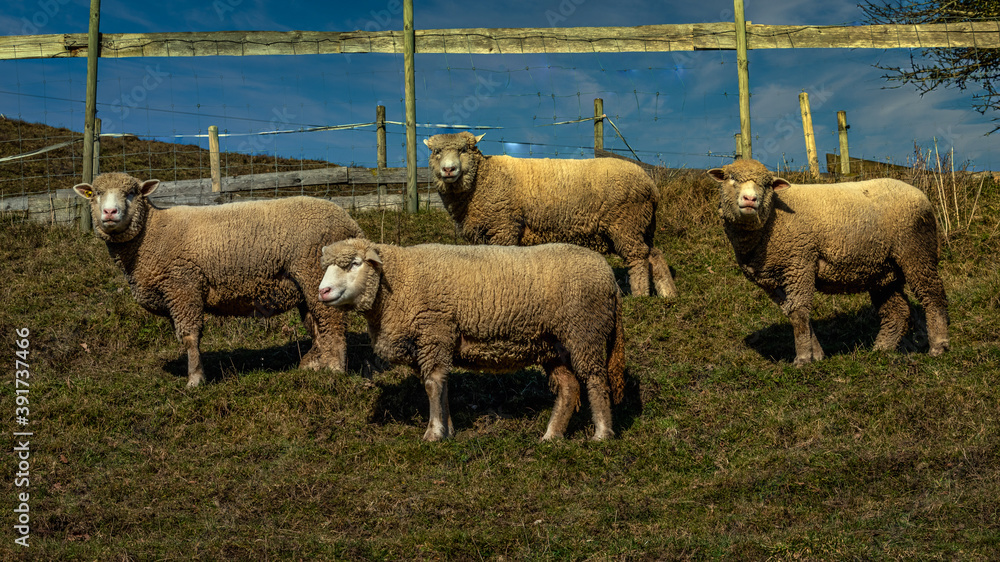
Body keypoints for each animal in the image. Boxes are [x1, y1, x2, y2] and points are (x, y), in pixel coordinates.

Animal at [73, 172, 365, 387]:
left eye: (131, 193)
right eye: (96, 194)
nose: (110, 213)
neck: (152, 232)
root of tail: (352, 225)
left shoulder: (183, 286)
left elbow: (189, 336)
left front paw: (195, 380)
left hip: (314, 271)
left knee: (332, 322)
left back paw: (335, 370)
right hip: (305, 284)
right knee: (317, 325)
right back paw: (314, 365)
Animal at [317, 238, 626, 441]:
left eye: (355, 264)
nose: (323, 291)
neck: (398, 283)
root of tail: (609, 277)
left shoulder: (435, 333)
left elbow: (432, 385)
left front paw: (434, 433)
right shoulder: (430, 344)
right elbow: (441, 386)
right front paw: (448, 430)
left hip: (585, 333)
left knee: (596, 380)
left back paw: (602, 435)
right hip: (554, 345)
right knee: (569, 387)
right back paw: (552, 436)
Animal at [423, 131, 677, 298]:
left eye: (464, 150)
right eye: (436, 152)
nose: (448, 169)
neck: (483, 179)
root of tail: (650, 185)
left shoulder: (504, 227)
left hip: (625, 222)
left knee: (638, 256)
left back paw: (641, 294)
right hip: (641, 224)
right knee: (654, 253)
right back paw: (667, 293)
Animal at [707, 159, 949, 365]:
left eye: (767, 185)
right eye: (731, 178)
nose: (750, 200)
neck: (772, 218)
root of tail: (921, 195)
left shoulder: (799, 262)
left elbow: (800, 311)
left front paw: (803, 358)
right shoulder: (774, 280)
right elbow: (793, 313)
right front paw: (817, 354)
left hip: (916, 251)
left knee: (933, 295)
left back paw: (938, 346)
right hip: (884, 271)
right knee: (897, 310)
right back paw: (881, 349)